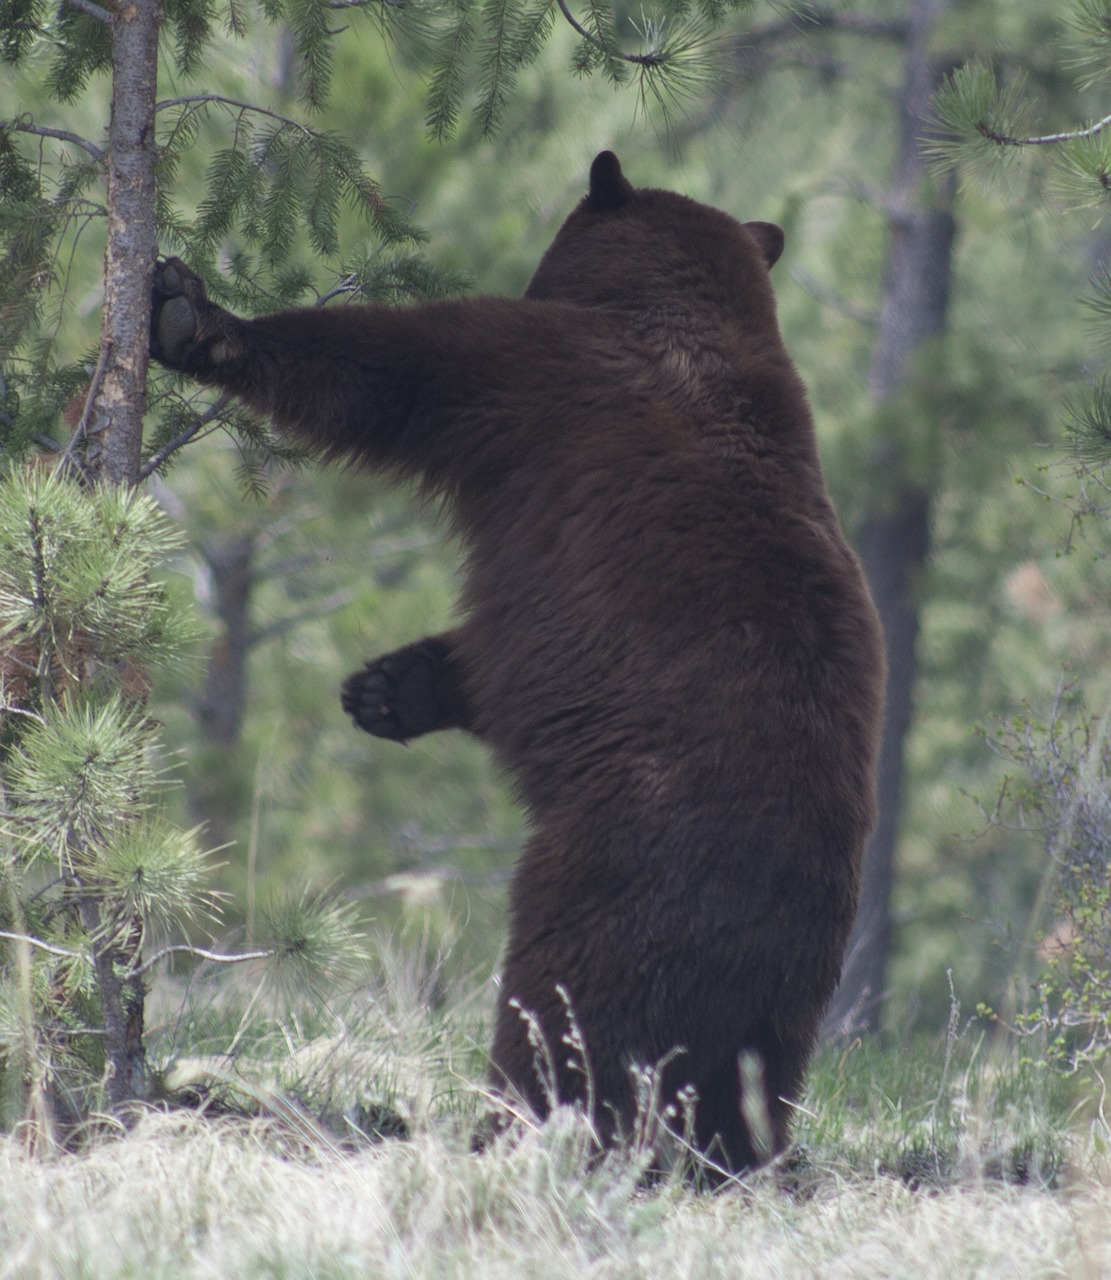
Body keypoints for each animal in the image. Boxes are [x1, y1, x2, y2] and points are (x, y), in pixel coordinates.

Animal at [149, 152, 885, 1177]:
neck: (682, 314)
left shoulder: (541, 377)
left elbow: (393, 369)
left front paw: (189, 314)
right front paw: (386, 688)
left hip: (614, 864)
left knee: (569, 1009)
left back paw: (514, 1126)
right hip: (785, 998)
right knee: (750, 1073)